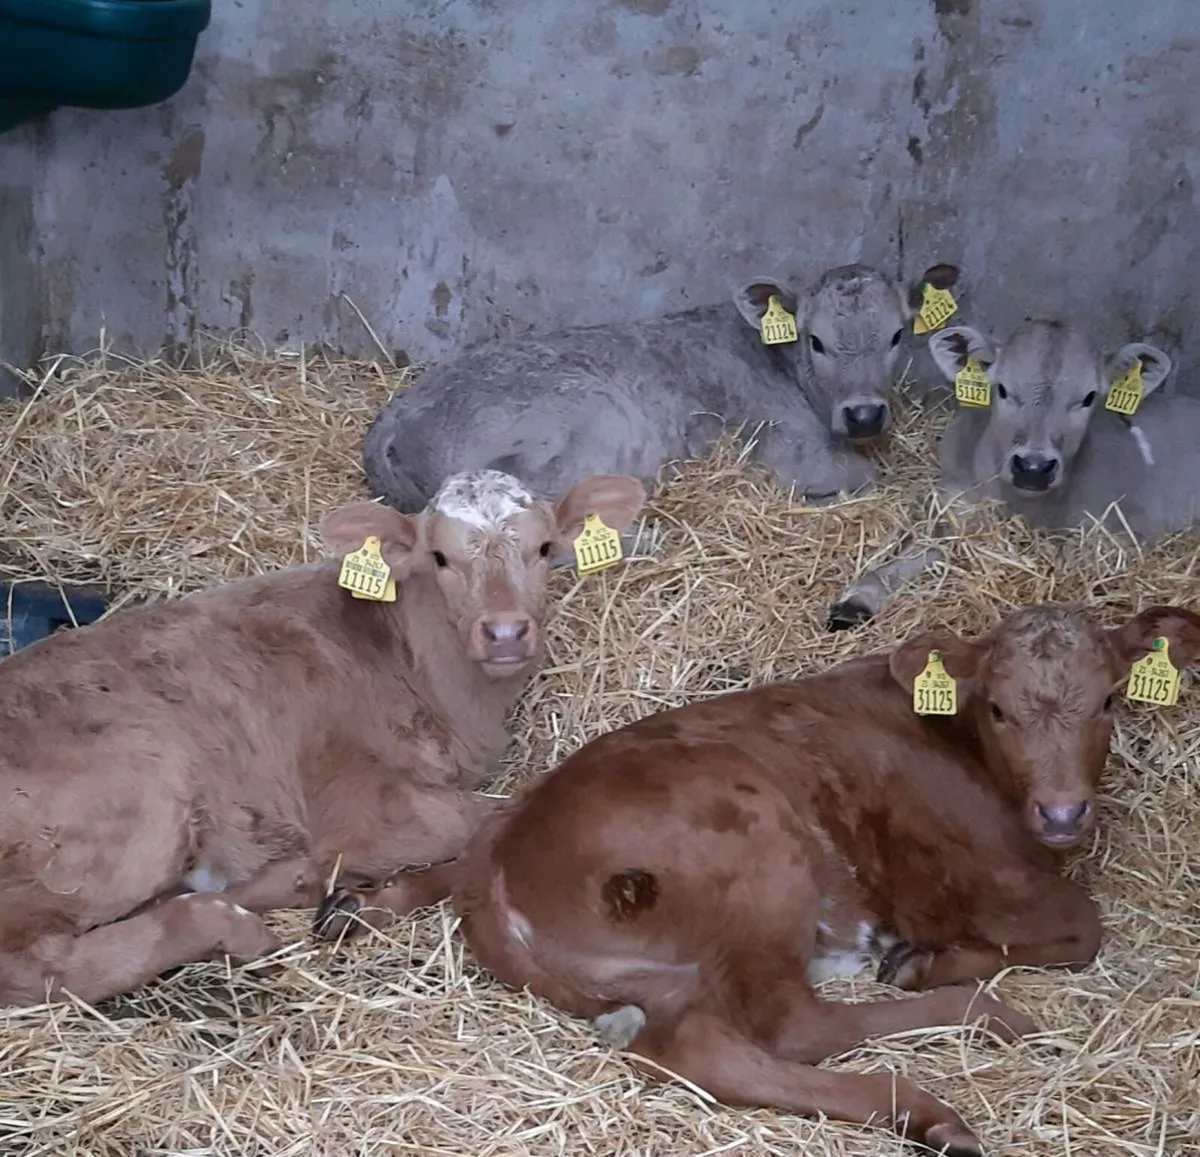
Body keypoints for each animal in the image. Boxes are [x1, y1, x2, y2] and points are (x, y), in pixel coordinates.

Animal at [0, 468, 646, 1009]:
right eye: (439, 557)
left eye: (544, 550)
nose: (506, 631)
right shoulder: (364, 797)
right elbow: (482, 817)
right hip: (140, 810)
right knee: (35, 964)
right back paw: (232, 923)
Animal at [315, 602, 1200, 1156]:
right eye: (1000, 709)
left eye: (1111, 698)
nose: (1063, 812)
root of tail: (506, 874)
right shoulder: (981, 876)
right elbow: (1082, 928)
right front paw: (930, 960)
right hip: (761, 846)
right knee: (787, 1026)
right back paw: (950, 1067)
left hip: (650, 945)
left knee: (698, 1047)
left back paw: (358, 904)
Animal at [362, 262, 961, 544]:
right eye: (816, 341)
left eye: (897, 335)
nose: (864, 414)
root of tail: (391, 423)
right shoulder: (790, 450)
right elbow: (867, 479)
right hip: (591, 417)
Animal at [827, 318, 1198, 629]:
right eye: (1002, 389)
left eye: (1089, 397)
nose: (1034, 467)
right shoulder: (953, 506)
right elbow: (924, 550)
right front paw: (858, 597)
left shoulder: (1120, 534)